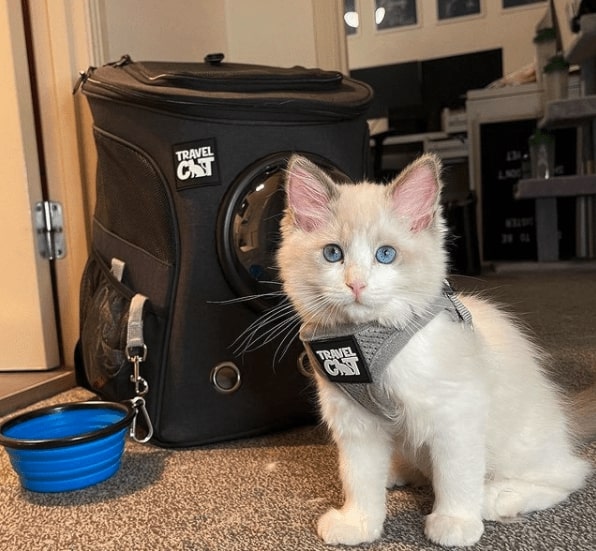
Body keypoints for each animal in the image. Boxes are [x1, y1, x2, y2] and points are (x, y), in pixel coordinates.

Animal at [278, 152, 592, 548]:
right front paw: (359, 523)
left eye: (386, 255)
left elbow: (456, 476)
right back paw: (398, 471)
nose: (356, 284)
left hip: (519, 447)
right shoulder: (356, 422)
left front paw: (454, 523)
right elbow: (359, 479)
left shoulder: (456, 414)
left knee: (568, 475)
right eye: (333, 254)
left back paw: (497, 496)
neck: (369, 338)